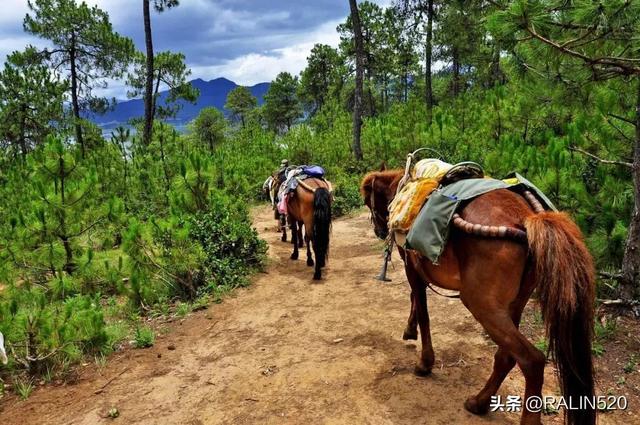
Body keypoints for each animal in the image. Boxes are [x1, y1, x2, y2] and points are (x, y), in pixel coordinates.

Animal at [362, 167, 596, 424]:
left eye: (367, 202)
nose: (379, 231)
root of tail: (526, 217)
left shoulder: (412, 269)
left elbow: (421, 310)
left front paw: (424, 363)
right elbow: (415, 302)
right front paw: (409, 330)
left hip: (482, 306)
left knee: (532, 360)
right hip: (514, 304)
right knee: (507, 357)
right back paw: (479, 402)